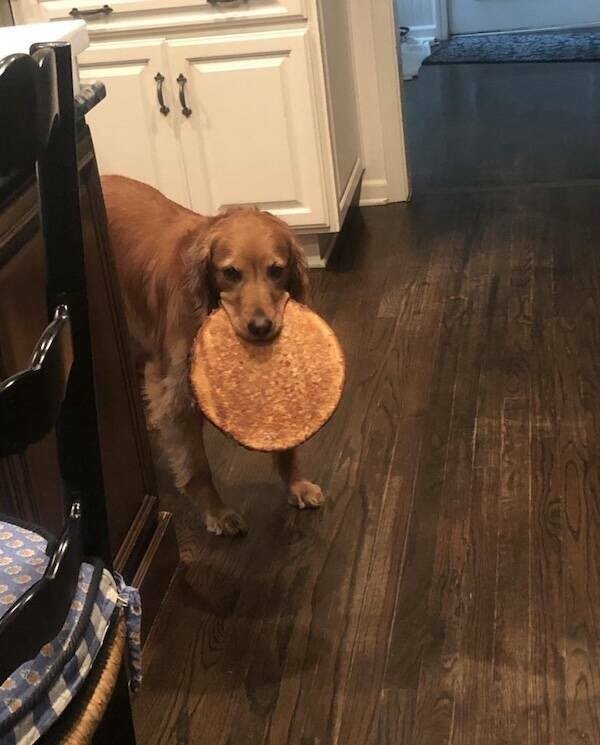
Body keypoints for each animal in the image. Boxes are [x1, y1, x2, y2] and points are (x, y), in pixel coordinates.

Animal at [101, 175, 325, 535]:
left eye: (276, 270)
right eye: (231, 273)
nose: (261, 327)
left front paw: (296, 484)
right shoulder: (178, 395)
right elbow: (197, 467)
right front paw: (217, 513)